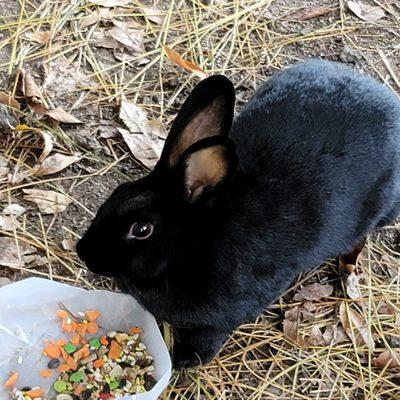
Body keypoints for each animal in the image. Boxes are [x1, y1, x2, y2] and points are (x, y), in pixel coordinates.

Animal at [76, 57, 400, 368]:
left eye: (142, 229)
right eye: (117, 192)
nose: (83, 252)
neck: (195, 245)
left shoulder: (235, 308)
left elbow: (214, 331)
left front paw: (187, 359)